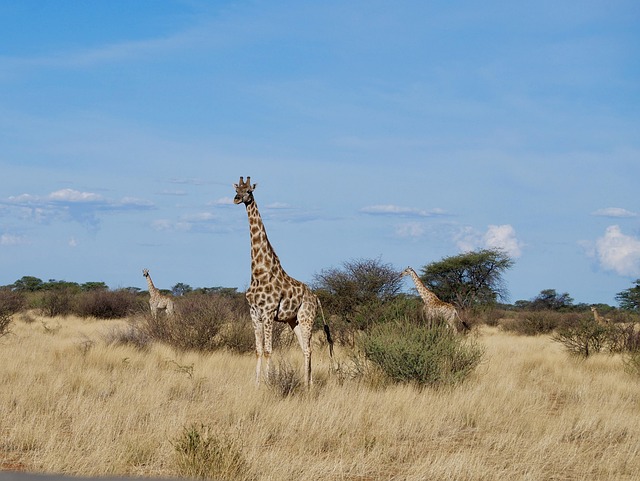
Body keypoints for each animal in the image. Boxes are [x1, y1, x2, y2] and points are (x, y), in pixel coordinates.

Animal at [233, 176, 333, 387]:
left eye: (249, 191)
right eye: (237, 189)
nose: (236, 199)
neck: (259, 272)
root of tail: (316, 298)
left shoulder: (269, 312)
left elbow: (269, 350)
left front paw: (268, 382)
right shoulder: (254, 313)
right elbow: (258, 350)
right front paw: (256, 384)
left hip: (306, 318)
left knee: (309, 349)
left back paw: (308, 385)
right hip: (293, 320)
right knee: (305, 349)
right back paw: (307, 382)